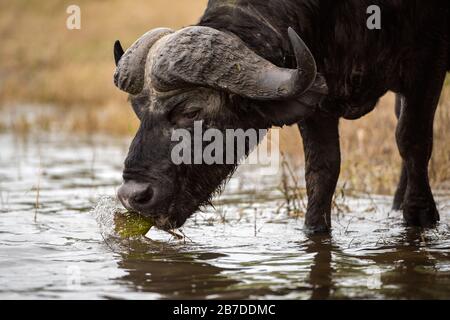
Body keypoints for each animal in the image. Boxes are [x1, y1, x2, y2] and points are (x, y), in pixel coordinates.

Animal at [114, 1, 448, 234]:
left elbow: (412, 139)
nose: (133, 196)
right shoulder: (317, 99)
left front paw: (421, 216)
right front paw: (314, 229)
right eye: (138, 111)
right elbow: (322, 167)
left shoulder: (428, 65)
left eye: (192, 112)